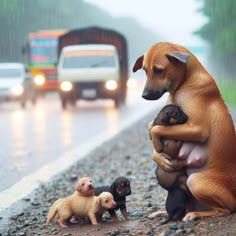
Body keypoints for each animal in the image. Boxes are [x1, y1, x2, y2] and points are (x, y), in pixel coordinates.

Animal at [133, 42, 236, 221]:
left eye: (158, 70)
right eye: (145, 70)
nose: (144, 96)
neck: (185, 83)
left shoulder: (197, 129)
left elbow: (158, 128)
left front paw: (157, 145)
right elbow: (152, 125)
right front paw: (158, 155)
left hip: (195, 181)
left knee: (224, 210)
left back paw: (194, 214)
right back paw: (163, 212)